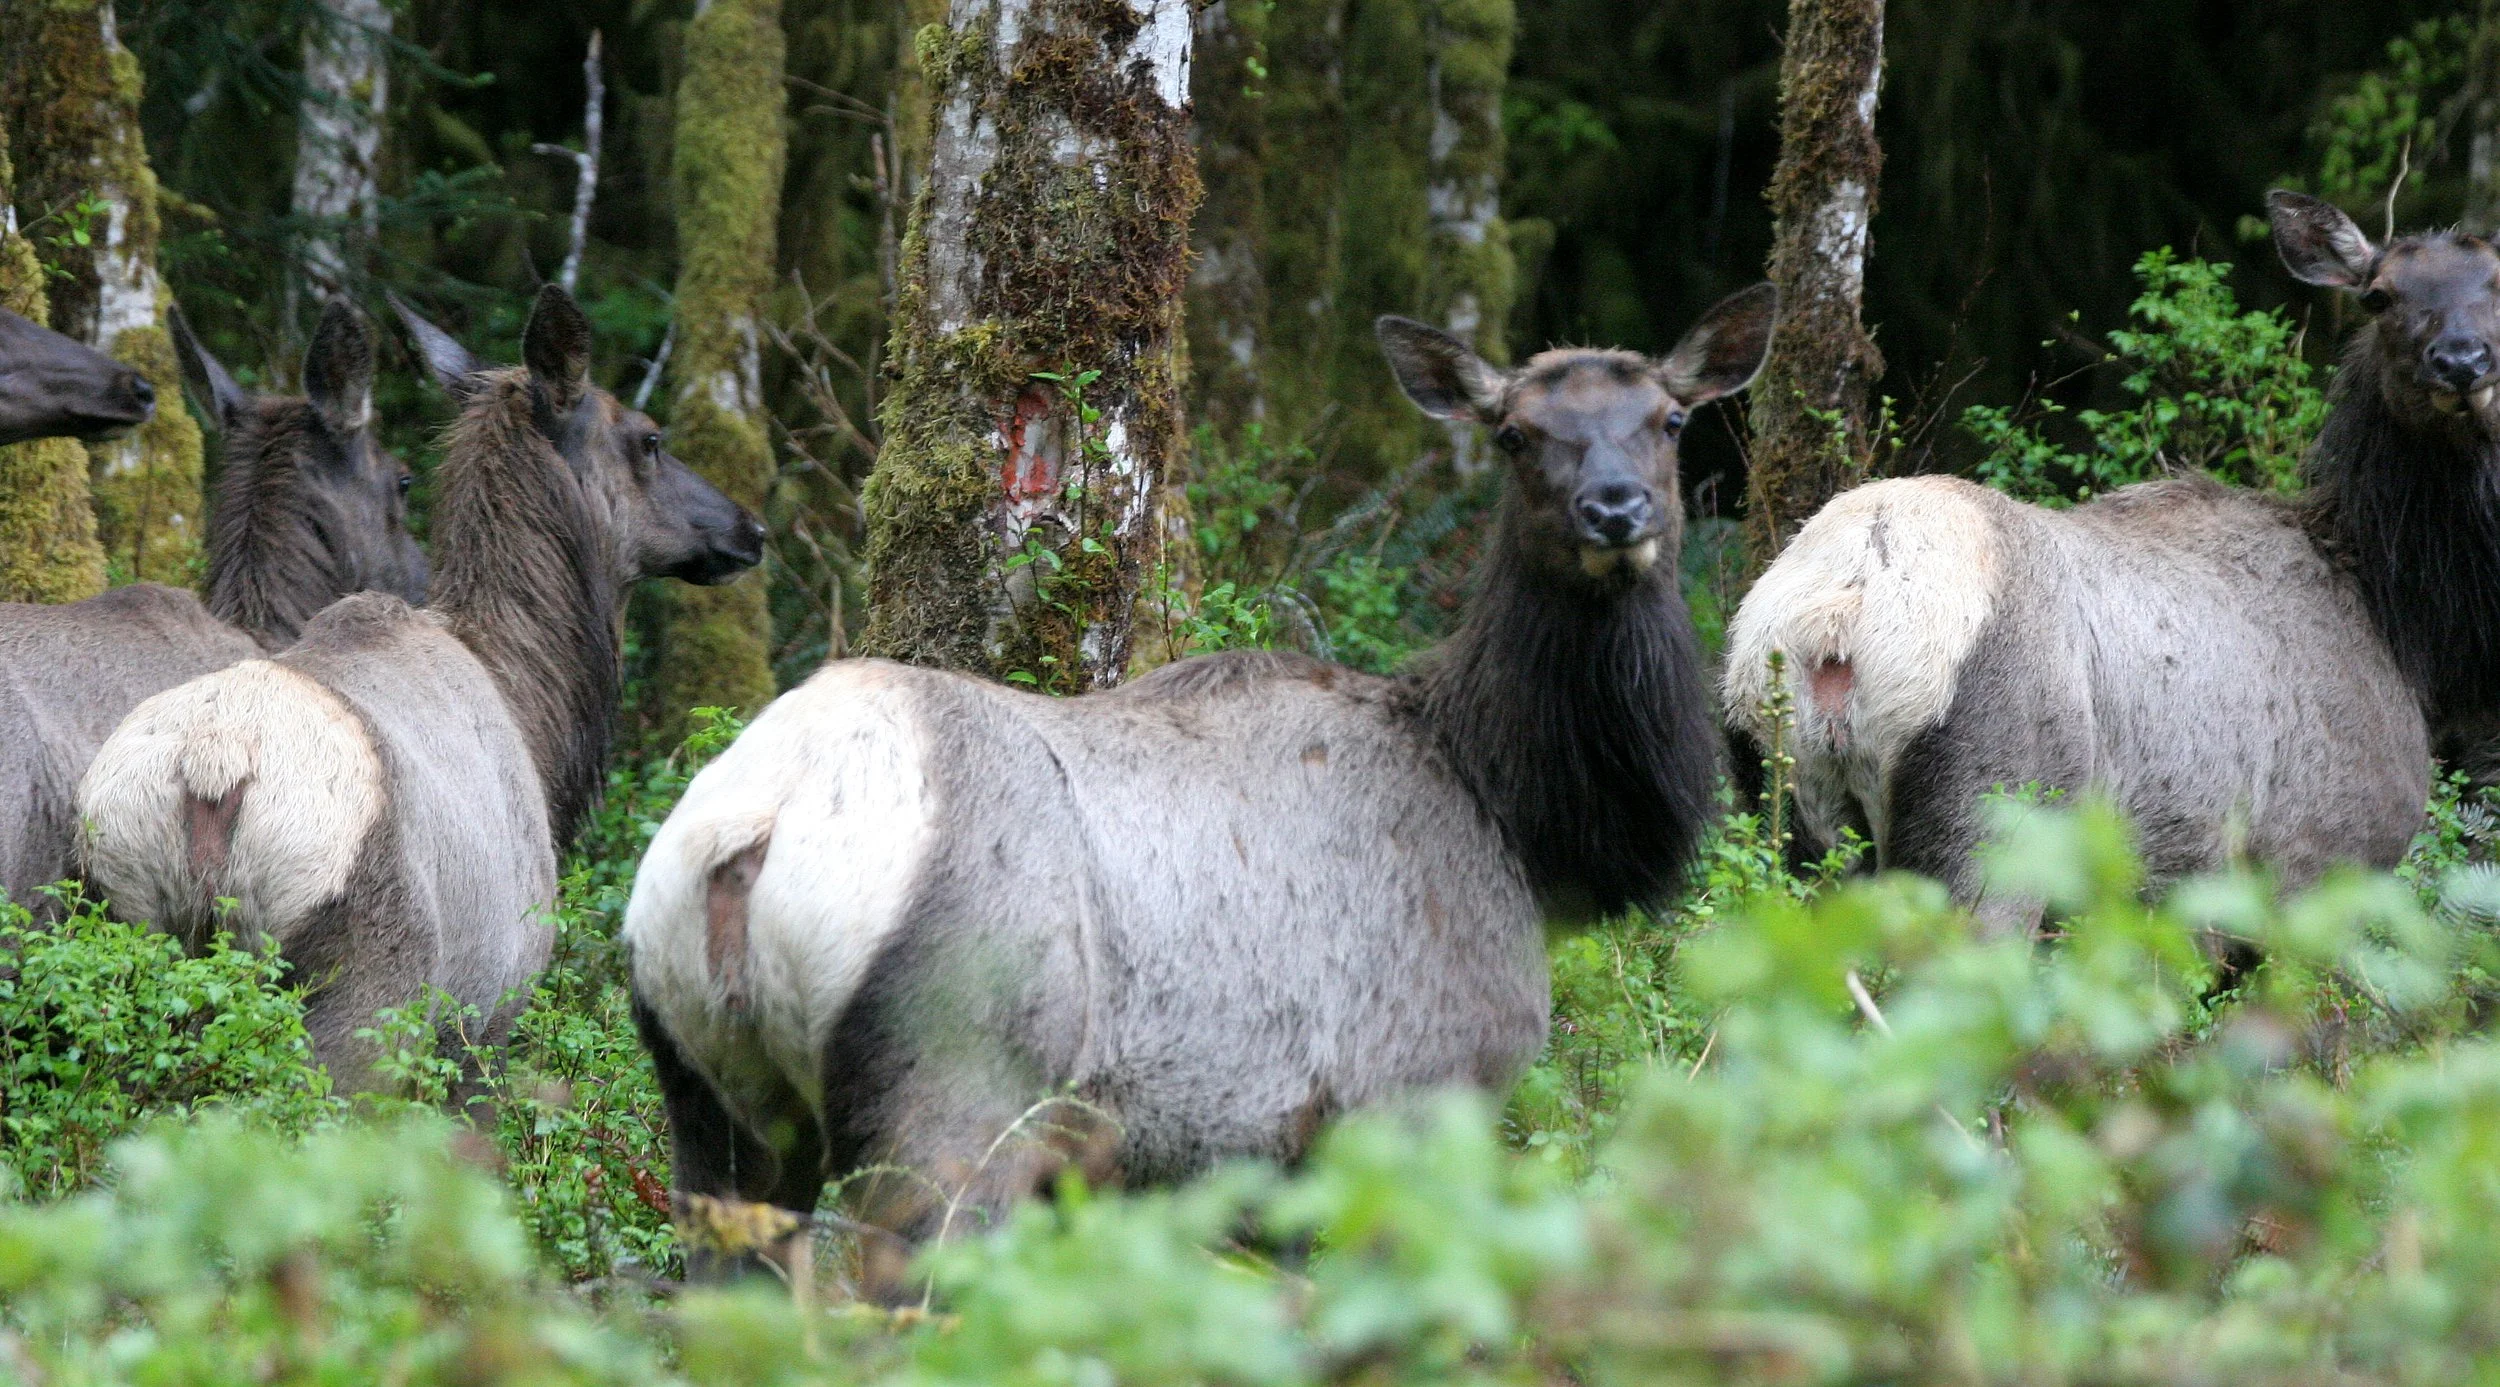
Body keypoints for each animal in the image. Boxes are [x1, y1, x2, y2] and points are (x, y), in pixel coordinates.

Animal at [76, 285, 765, 1092]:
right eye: (650, 439)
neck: (537, 717)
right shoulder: (491, 1016)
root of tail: (210, 772)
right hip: (364, 1002)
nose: (749, 528)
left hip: (123, 947)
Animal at [622, 283, 1775, 1284]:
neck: (1523, 823)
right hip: (952, 1089)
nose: (1614, 508)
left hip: (709, 1099)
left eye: (1669, 418)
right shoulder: (1408, 1091)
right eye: (1514, 434)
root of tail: (750, 833)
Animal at [1722, 191, 2479, 934]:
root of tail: (1842, 616)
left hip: (1791, 817)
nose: (2464, 362)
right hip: (1993, 821)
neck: (2402, 623)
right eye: (2379, 294)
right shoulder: (2321, 860)